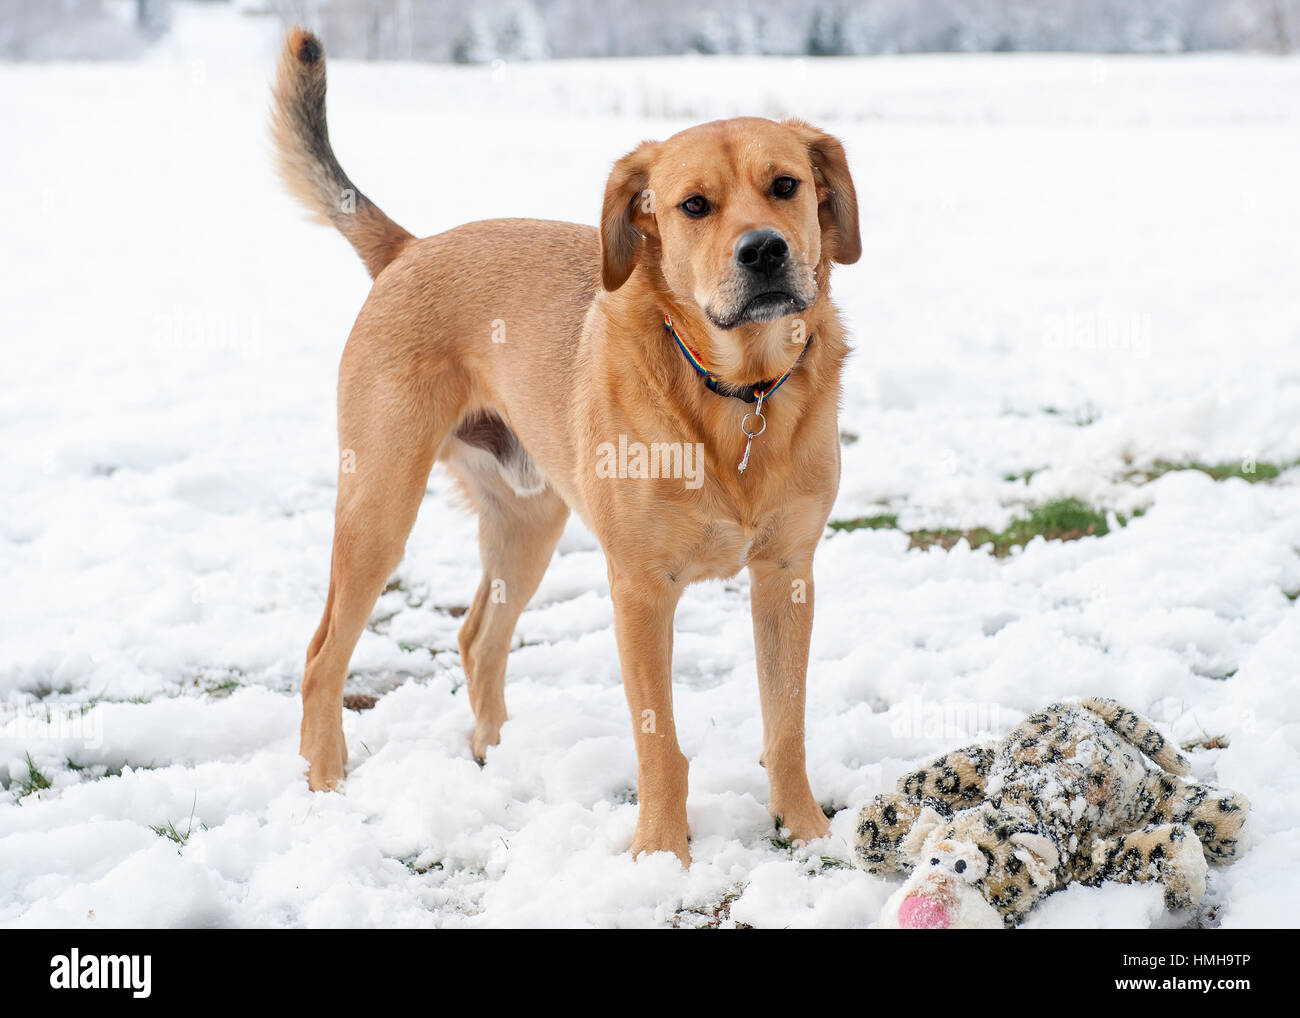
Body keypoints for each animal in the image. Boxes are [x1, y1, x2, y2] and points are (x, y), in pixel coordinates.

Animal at [269, 25, 857, 868]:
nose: (765, 251)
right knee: (323, 657)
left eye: (786, 186)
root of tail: (410, 249)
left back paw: (498, 754)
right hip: (380, 507)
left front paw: (807, 836)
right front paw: (660, 858)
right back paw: (326, 784)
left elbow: (787, 724)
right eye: (695, 206)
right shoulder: (640, 589)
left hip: (529, 522)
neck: (733, 394)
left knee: (477, 638)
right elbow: (658, 742)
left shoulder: (787, 575)